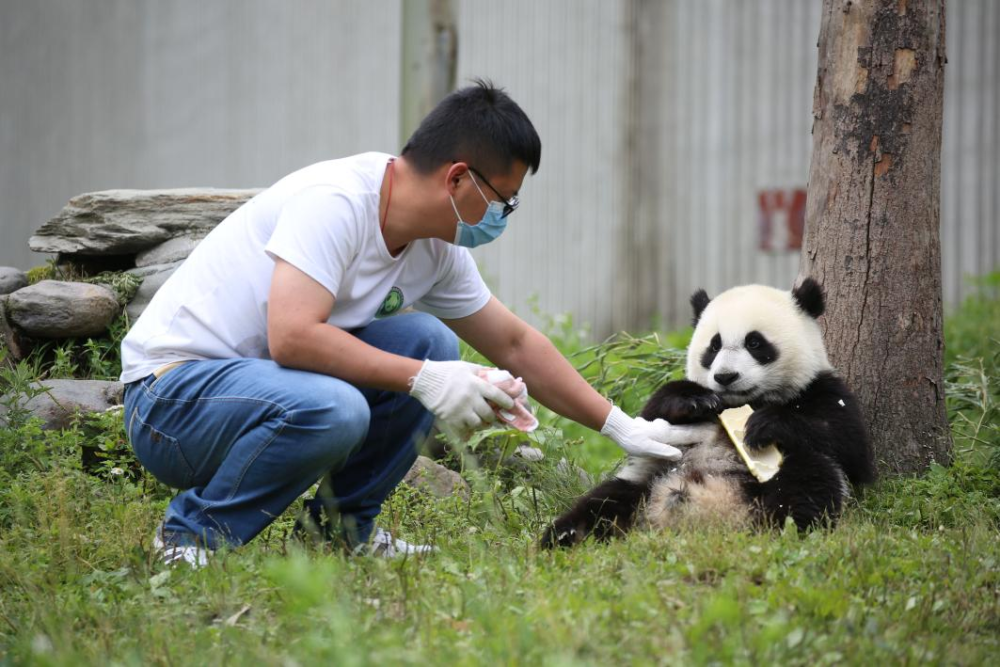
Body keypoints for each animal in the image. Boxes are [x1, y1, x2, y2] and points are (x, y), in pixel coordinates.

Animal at [540, 278, 876, 548]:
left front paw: (766, 424)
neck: (744, 402)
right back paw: (562, 537)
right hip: (646, 481)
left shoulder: (822, 389)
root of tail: (713, 514)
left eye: (755, 342)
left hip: (780, 476)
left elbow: (851, 447)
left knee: (808, 482)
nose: (725, 377)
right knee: (603, 502)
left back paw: (778, 529)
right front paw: (695, 401)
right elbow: (651, 415)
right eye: (714, 346)